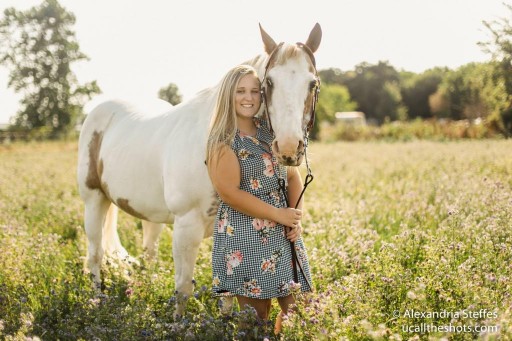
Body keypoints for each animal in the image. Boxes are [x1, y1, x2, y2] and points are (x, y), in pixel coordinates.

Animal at [77, 22, 320, 314]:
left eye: (312, 83)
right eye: (269, 82)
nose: (288, 148)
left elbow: (228, 294)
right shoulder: (186, 227)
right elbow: (183, 288)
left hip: (148, 214)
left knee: (148, 250)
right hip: (94, 200)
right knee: (95, 254)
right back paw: (96, 302)